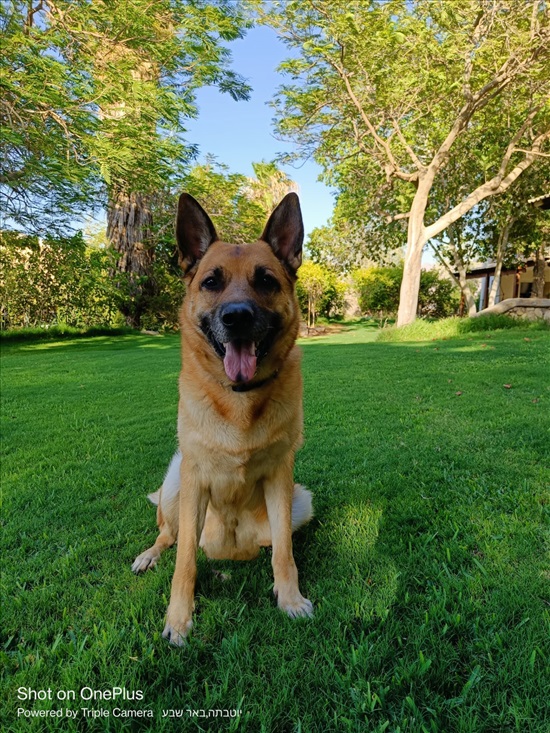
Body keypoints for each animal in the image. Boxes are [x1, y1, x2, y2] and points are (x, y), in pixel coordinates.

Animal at [133, 192, 314, 644]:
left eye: (266, 280)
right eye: (211, 282)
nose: (237, 316)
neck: (240, 400)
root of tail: (229, 548)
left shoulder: (281, 476)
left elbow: (285, 551)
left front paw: (289, 597)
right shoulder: (195, 477)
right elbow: (184, 563)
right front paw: (179, 619)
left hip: (300, 499)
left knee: (270, 545)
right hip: (176, 482)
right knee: (169, 535)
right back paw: (150, 555)